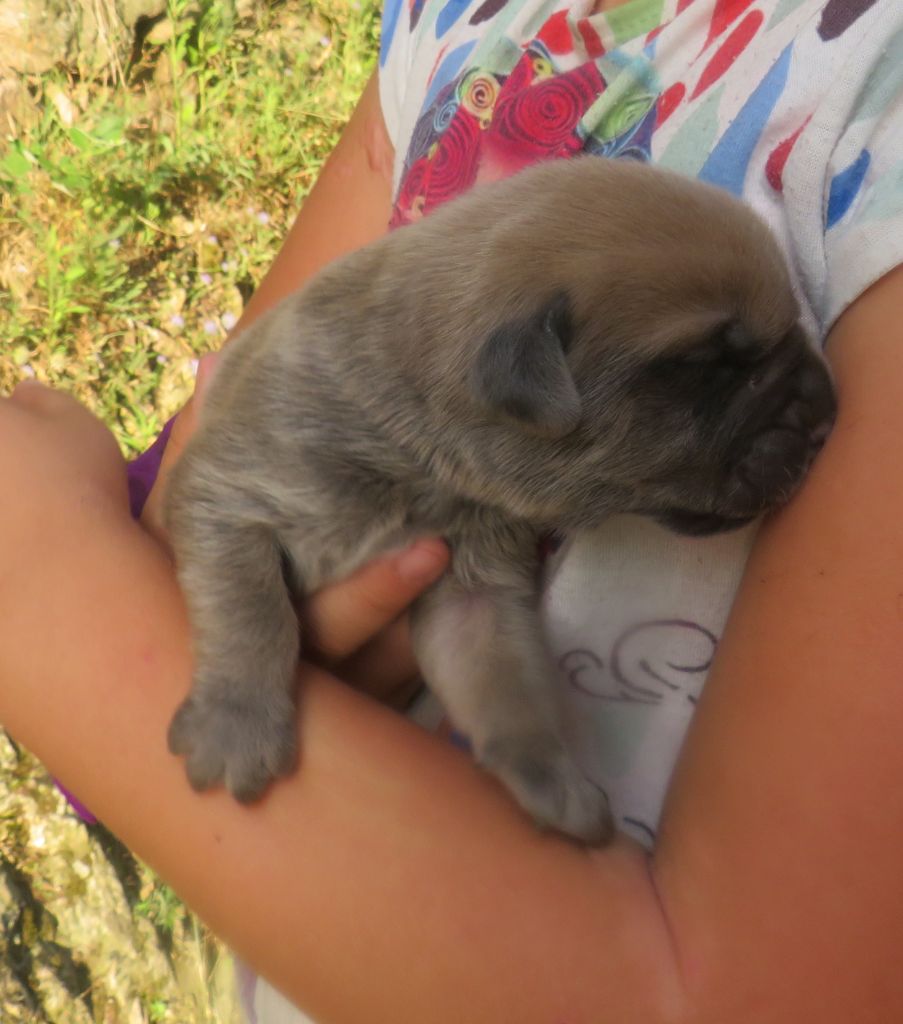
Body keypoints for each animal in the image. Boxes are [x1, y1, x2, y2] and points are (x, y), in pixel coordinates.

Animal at [161, 157, 831, 839]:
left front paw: (554, 781)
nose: (826, 404)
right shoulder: (228, 496)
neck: (425, 460)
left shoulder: (474, 586)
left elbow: (502, 683)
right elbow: (253, 611)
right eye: (709, 369)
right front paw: (236, 725)